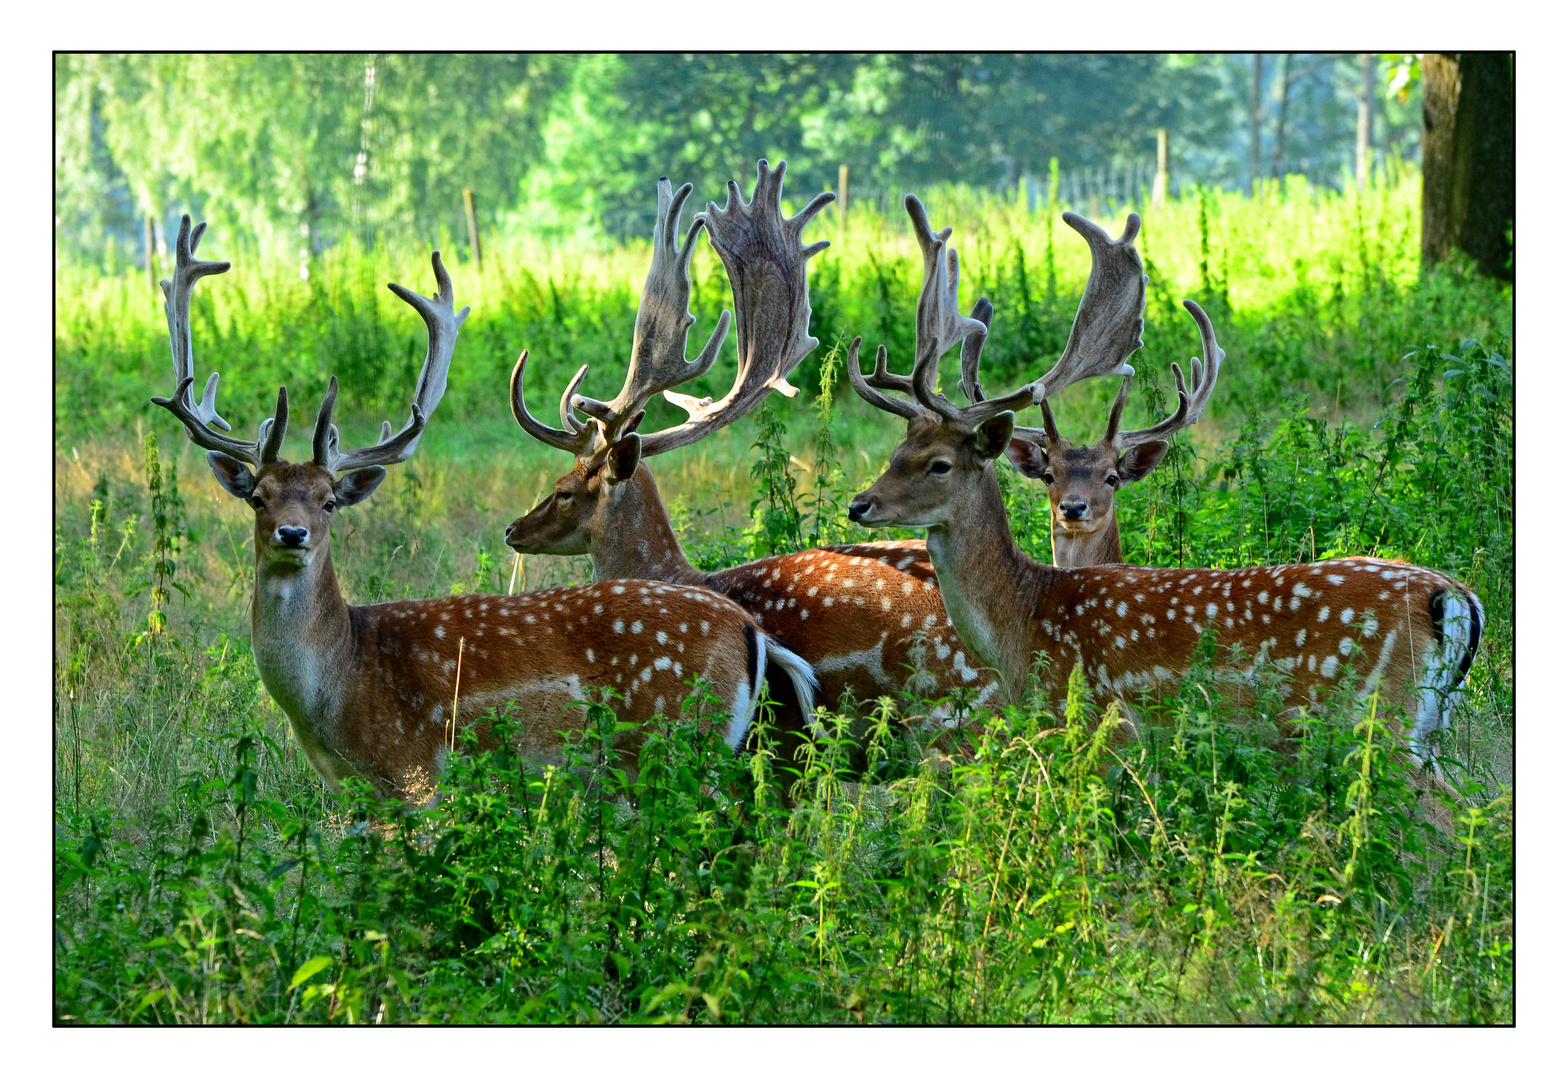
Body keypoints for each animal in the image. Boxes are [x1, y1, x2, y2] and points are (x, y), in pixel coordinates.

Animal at [151, 214, 815, 799]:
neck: (340, 686)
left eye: (329, 501)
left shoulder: (412, 772)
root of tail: (754, 633)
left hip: (677, 745)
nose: (292, 534)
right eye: (257, 497)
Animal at [852, 195, 1486, 799]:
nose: (859, 504)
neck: (1021, 623)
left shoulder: (1103, 721)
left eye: (939, 464)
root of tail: (1456, 598)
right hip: (1425, 725)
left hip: (1369, 715)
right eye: (895, 453)